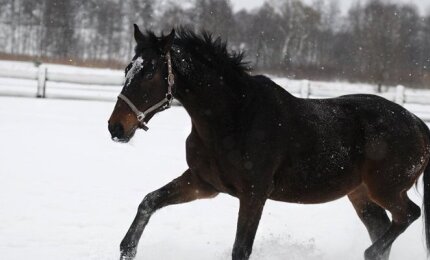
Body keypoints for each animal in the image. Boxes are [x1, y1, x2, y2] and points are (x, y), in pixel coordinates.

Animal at [107, 24, 430, 260]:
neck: (233, 119)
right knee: (383, 227)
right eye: (127, 69)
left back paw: (369, 251)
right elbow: (149, 202)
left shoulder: (254, 194)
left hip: (386, 188)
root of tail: (417, 123)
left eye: (150, 72)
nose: (116, 127)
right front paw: (127, 249)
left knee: (407, 215)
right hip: (361, 194)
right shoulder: (203, 183)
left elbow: (241, 249)